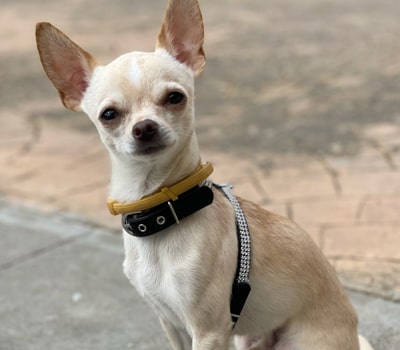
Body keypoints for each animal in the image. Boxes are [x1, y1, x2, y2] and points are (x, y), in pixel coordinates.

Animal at [35, 0, 376, 348]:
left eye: (175, 97)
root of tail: (352, 334)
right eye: (108, 115)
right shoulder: (171, 323)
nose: (145, 127)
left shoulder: (208, 331)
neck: (160, 213)